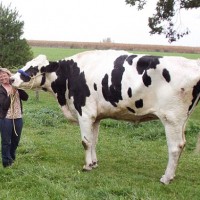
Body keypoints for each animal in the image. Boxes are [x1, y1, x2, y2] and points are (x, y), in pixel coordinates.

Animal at [10, 50, 200, 184]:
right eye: (27, 64)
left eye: (33, 68)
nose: (11, 79)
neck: (69, 76)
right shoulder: (96, 117)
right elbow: (94, 141)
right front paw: (94, 163)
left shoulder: (85, 113)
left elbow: (85, 142)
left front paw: (87, 166)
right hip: (181, 121)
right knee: (182, 145)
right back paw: (171, 176)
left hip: (172, 119)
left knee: (175, 147)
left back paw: (166, 178)